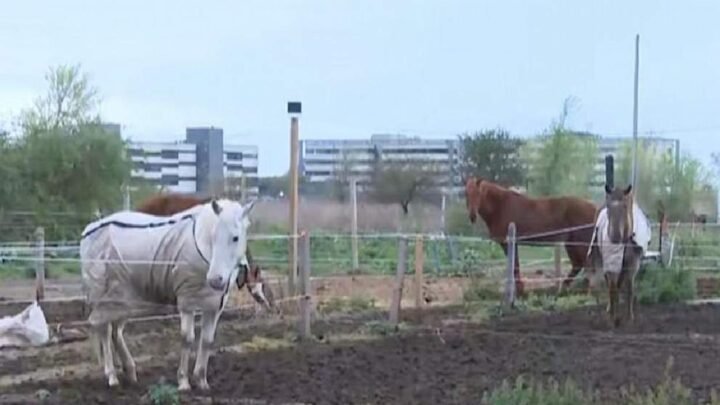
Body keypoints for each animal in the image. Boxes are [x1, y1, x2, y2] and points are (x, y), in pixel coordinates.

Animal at [80, 198, 255, 390]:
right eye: (213, 235)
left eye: (235, 237)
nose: (215, 280)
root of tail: (89, 230)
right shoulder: (187, 303)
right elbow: (187, 339)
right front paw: (183, 382)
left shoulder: (214, 306)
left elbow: (207, 341)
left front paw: (201, 381)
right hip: (103, 297)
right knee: (103, 330)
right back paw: (112, 376)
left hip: (121, 299)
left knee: (115, 332)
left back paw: (130, 372)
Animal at [464, 177, 599, 297]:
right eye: (466, 194)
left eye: (479, 193)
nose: (472, 216)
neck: (500, 206)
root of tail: (594, 207)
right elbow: (515, 267)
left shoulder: (509, 243)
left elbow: (515, 267)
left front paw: (520, 292)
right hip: (571, 243)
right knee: (578, 265)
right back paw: (563, 289)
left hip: (580, 243)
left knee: (587, 265)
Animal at [588, 184, 651, 327]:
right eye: (609, 207)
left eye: (624, 206)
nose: (615, 236)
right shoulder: (611, 264)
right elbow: (613, 287)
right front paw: (613, 318)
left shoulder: (632, 265)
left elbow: (629, 289)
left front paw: (629, 317)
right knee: (611, 285)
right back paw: (610, 309)